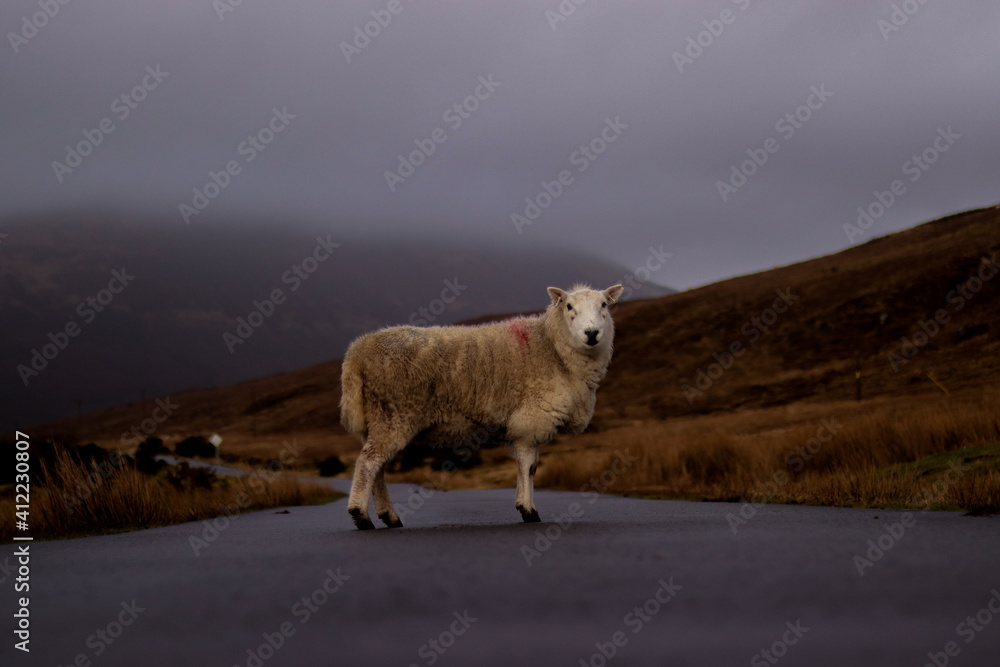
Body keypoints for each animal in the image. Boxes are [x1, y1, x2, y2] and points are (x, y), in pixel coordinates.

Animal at [340, 283, 624, 530]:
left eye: (604, 305)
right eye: (569, 306)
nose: (591, 333)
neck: (552, 348)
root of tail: (357, 351)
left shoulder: (529, 426)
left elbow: (532, 468)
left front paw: (525, 506)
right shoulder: (530, 422)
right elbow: (528, 467)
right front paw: (528, 510)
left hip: (377, 420)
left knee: (377, 467)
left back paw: (389, 517)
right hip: (394, 414)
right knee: (368, 463)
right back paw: (361, 516)